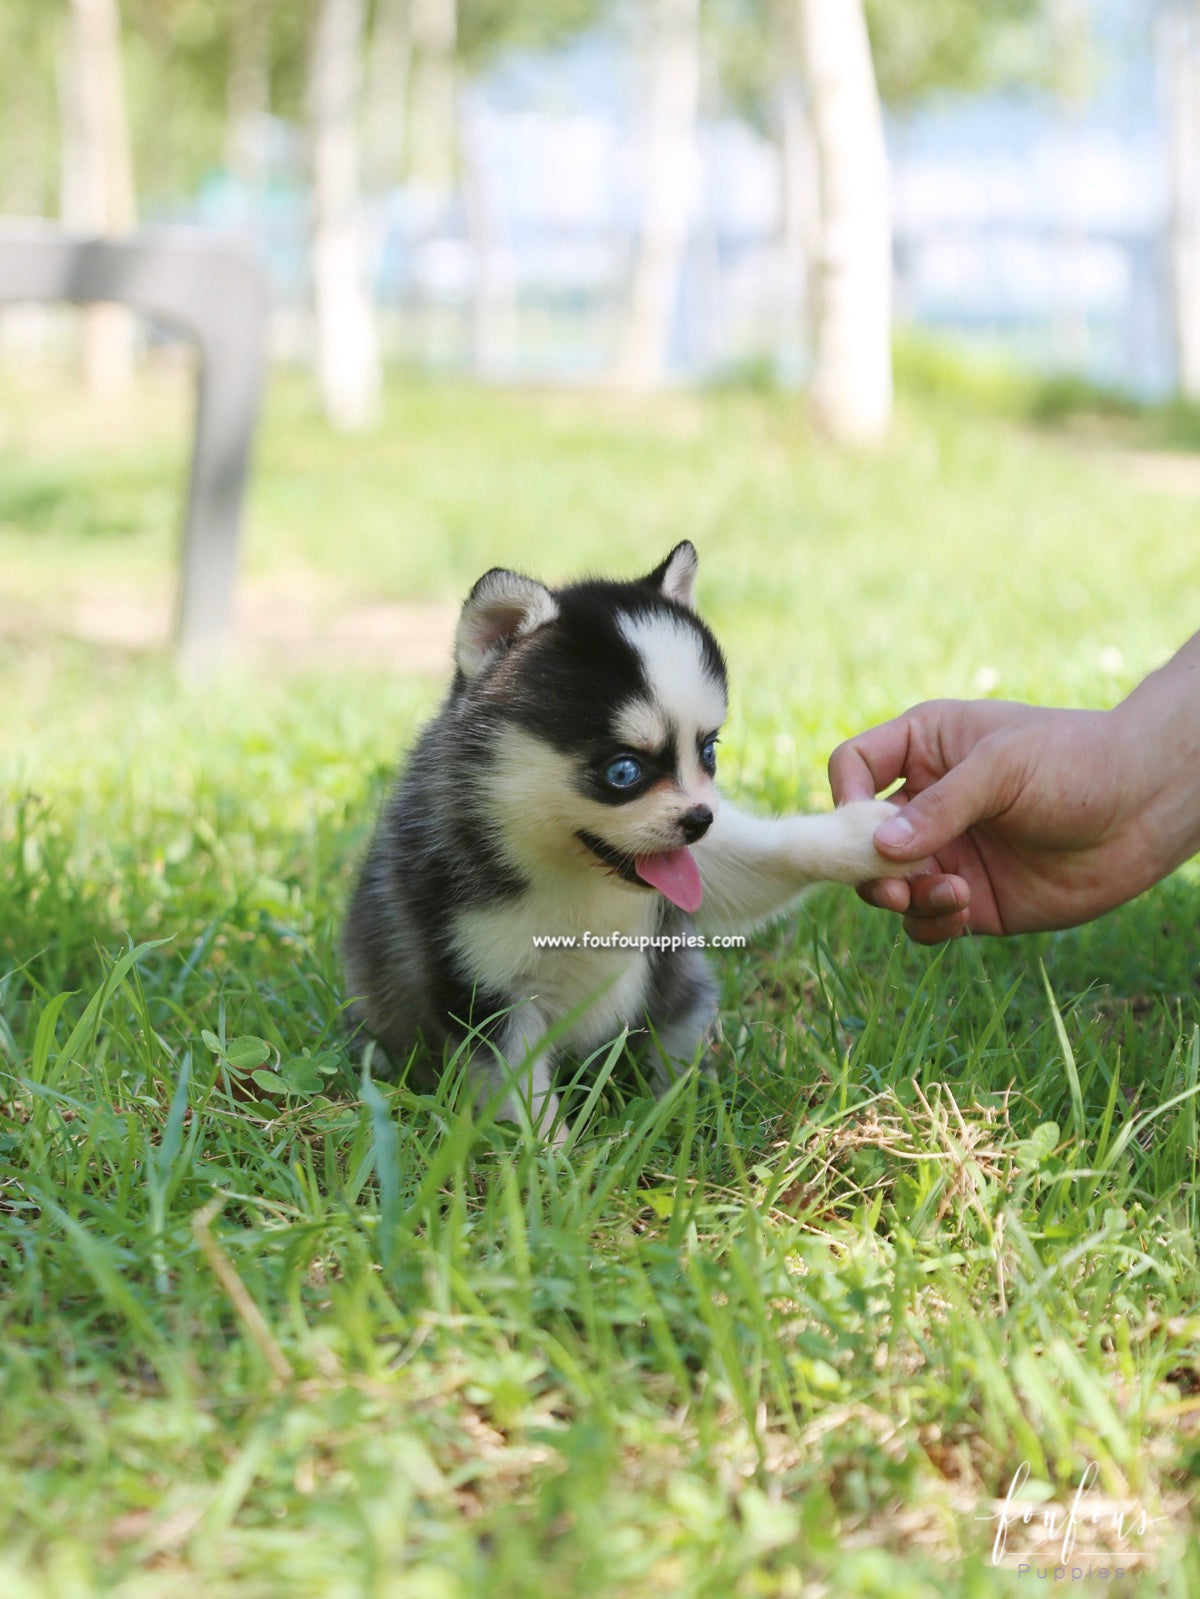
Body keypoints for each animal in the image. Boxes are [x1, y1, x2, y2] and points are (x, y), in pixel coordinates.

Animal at [342, 546, 915, 1138]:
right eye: (623, 771)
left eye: (708, 751)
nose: (701, 820)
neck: (573, 873)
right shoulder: (481, 989)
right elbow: (518, 1090)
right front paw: (551, 1154)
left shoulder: (704, 864)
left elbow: (763, 859)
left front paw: (863, 838)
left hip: (682, 1001)